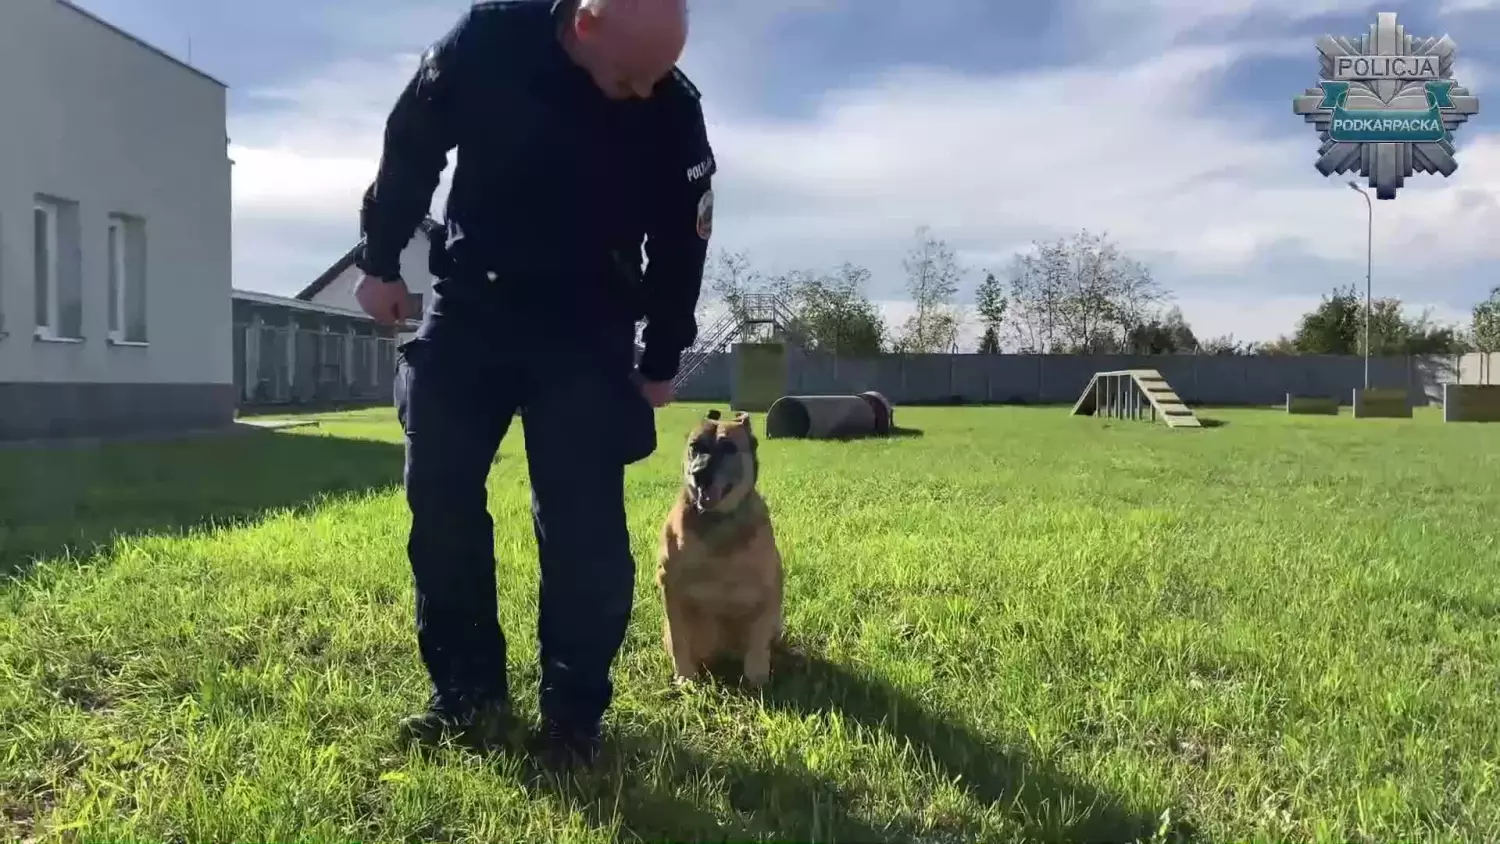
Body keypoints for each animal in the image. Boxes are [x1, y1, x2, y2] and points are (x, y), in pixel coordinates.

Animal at [663, 410, 792, 686]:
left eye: (728, 447)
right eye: (694, 446)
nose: (699, 473)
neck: (717, 520)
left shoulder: (767, 587)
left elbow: (758, 639)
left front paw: (757, 677)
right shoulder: (670, 586)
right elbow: (680, 638)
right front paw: (685, 677)